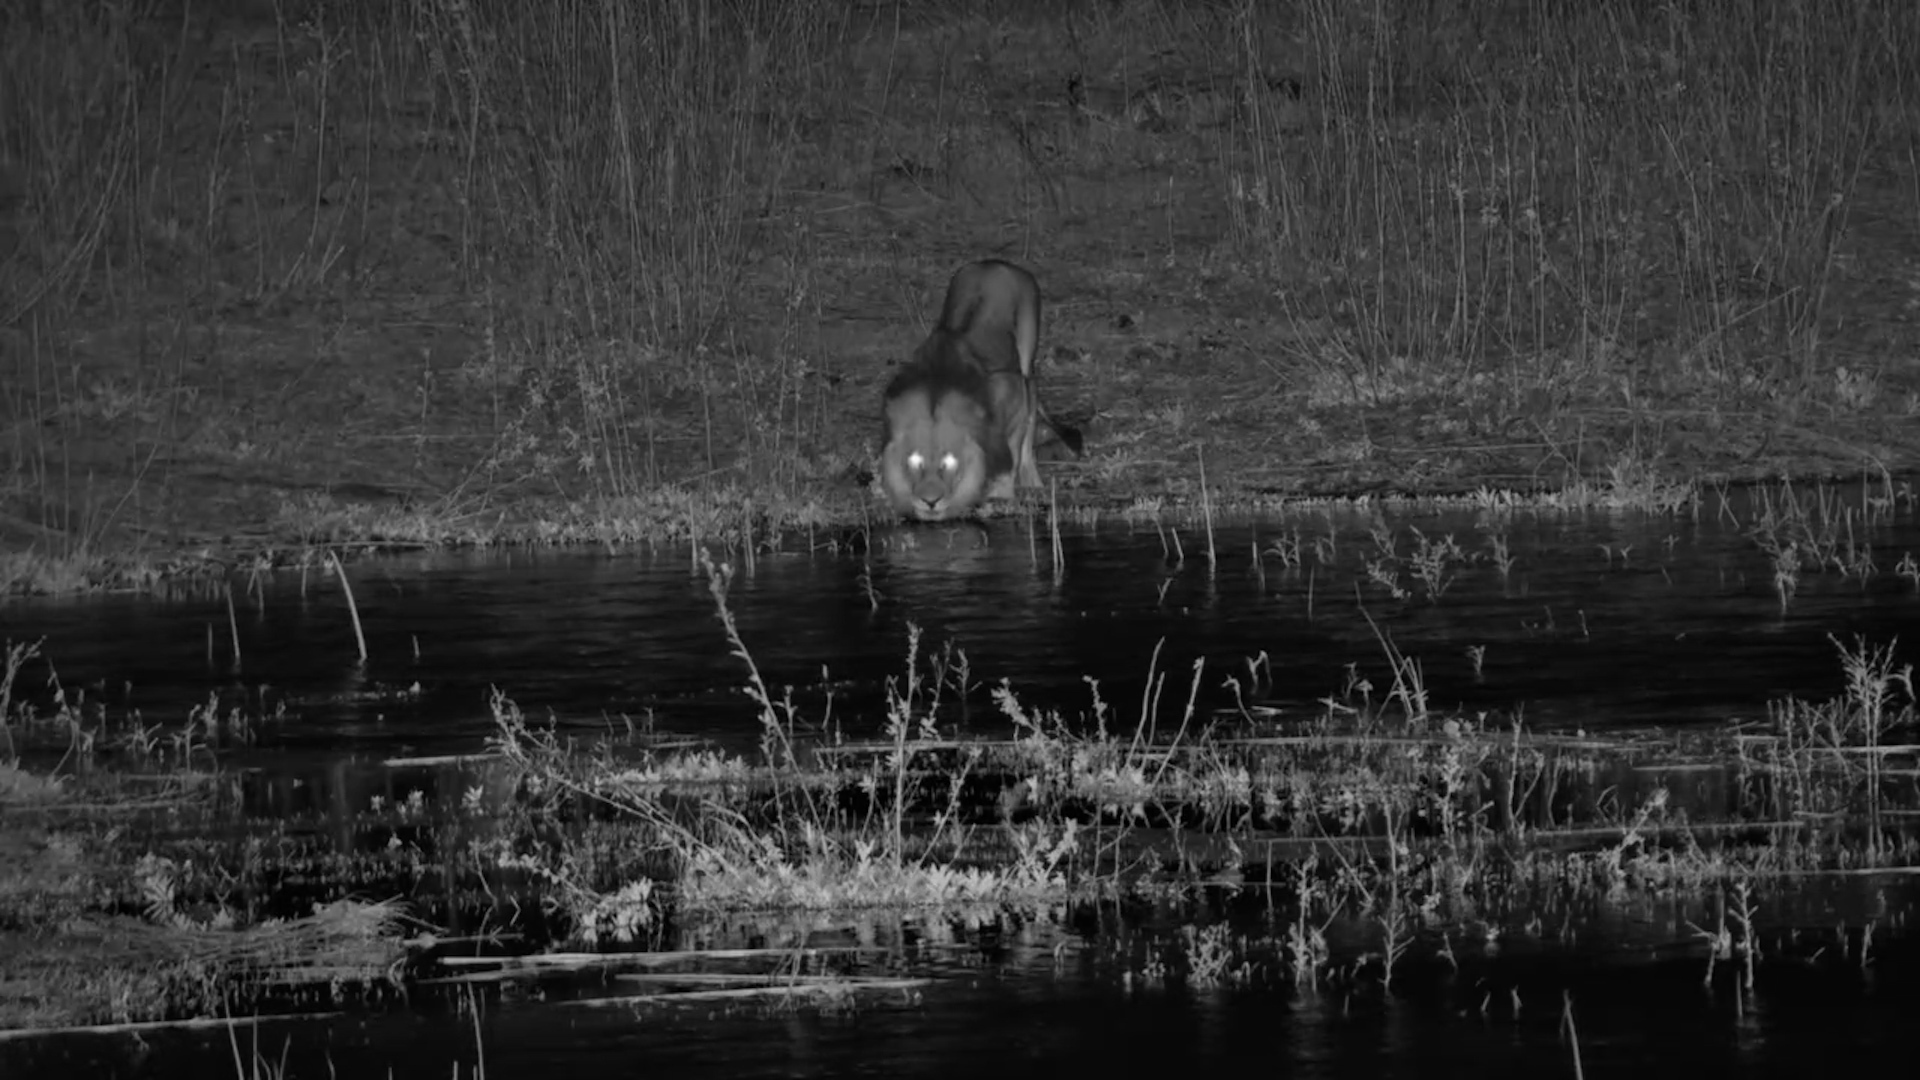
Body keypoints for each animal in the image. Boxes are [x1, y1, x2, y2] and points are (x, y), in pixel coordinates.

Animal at [879, 259, 1081, 522]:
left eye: (949, 463)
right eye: (914, 462)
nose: (930, 501)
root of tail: (995, 262)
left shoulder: (1014, 398)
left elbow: (1012, 452)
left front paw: (1002, 495)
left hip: (1028, 355)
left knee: (1031, 413)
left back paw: (1032, 481)